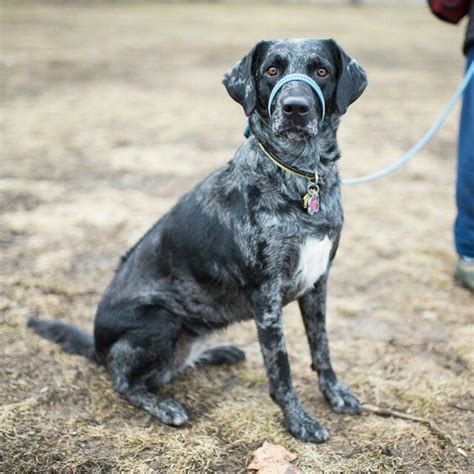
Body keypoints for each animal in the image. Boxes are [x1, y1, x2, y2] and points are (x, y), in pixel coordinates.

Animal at [29, 39, 368, 442]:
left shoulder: (318, 282)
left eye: (321, 71)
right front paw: (298, 419)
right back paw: (163, 405)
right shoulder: (266, 296)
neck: (301, 175)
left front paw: (335, 393)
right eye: (271, 70)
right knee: (124, 381)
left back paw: (218, 353)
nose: (295, 108)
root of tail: (97, 346)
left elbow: (322, 347)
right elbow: (281, 366)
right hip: (162, 321)